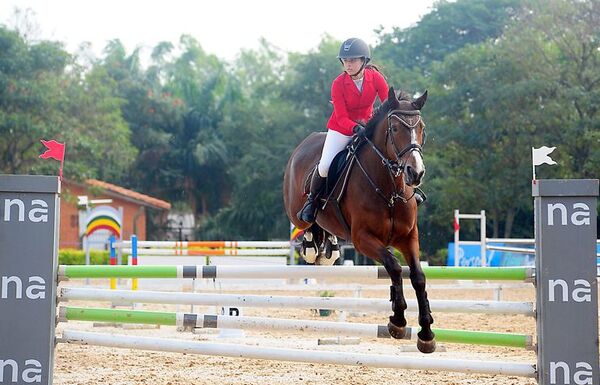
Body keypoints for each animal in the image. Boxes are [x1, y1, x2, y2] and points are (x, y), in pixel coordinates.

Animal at [284, 86, 434, 352]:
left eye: (421, 128)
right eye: (395, 129)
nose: (415, 173)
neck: (390, 189)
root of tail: (305, 143)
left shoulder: (408, 237)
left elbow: (418, 277)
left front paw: (426, 333)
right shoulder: (363, 239)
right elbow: (394, 266)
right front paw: (397, 321)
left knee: (325, 230)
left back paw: (331, 248)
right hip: (296, 211)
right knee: (307, 222)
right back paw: (312, 245)